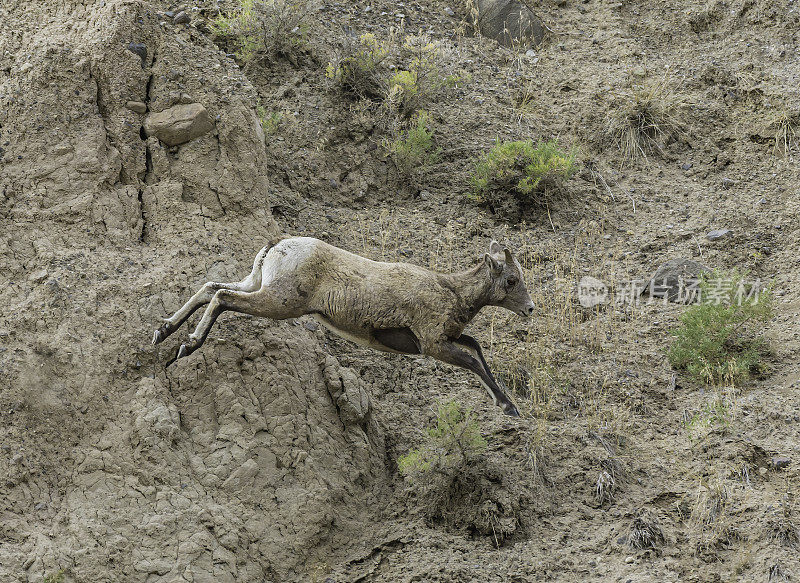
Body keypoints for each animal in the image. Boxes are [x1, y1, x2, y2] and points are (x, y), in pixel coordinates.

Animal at [153, 237, 536, 416]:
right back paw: (188, 344)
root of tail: (276, 247)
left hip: (258, 284)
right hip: (278, 301)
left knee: (211, 288)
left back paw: (165, 332)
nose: (530, 308)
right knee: (221, 298)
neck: (452, 292)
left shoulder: (450, 338)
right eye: (512, 280)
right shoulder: (434, 345)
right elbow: (472, 361)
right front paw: (508, 407)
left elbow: (476, 348)